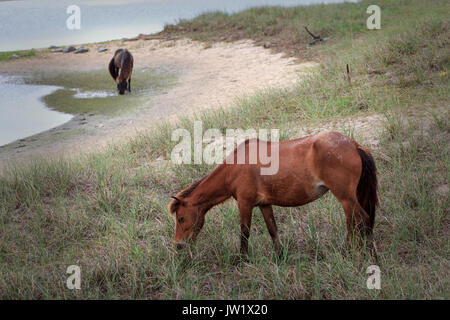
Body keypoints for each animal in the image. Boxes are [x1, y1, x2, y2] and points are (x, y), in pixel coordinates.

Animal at [167, 131, 378, 256]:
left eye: (181, 218)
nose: (178, 245)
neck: (236, 167)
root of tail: (354, 145)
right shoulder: (264, 204)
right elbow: (272, 229)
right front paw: (280, 255)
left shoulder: (245, 204)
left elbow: (244, 232)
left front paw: (242, 259)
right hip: (347, 199)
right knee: (353, 222)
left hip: (345, 197)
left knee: (362, 220)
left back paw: (364, 252)